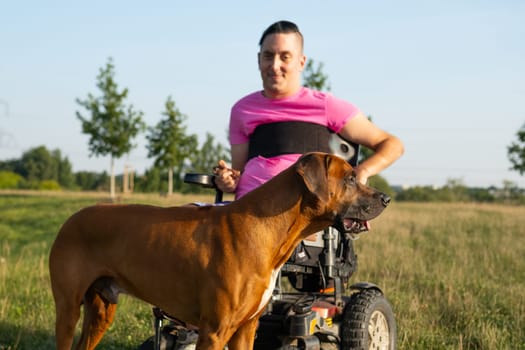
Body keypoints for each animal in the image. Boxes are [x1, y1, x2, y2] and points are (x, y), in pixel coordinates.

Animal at [48, 153, 388, 350]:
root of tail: (71, 219)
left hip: (102, 310)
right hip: (67, 310)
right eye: (349, 178)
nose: (385, 198)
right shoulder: (213, 331)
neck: (268, 227)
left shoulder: (246, 329)